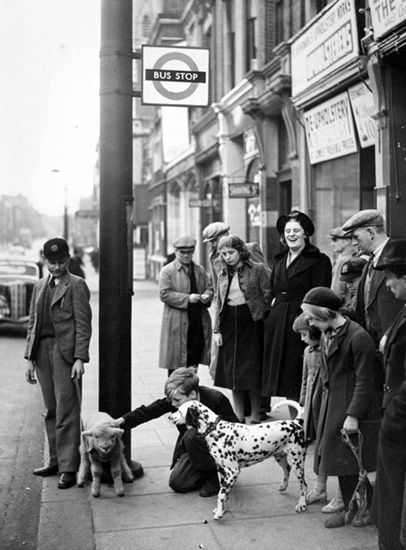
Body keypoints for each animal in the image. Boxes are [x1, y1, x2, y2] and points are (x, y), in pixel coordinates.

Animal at [171, 402, 308, 520]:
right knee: (287, 469)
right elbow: (223, 494)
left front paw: (219, 513)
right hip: (281, 458)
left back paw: (302, 504)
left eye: (179, 410)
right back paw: (283, 486)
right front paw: (221, 509)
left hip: (298, 463)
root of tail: (295, 422)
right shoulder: (222, 471)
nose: (169, 416)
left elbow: (221, 494)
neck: (217, 430)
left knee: (304, 485)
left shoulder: (233, 472)